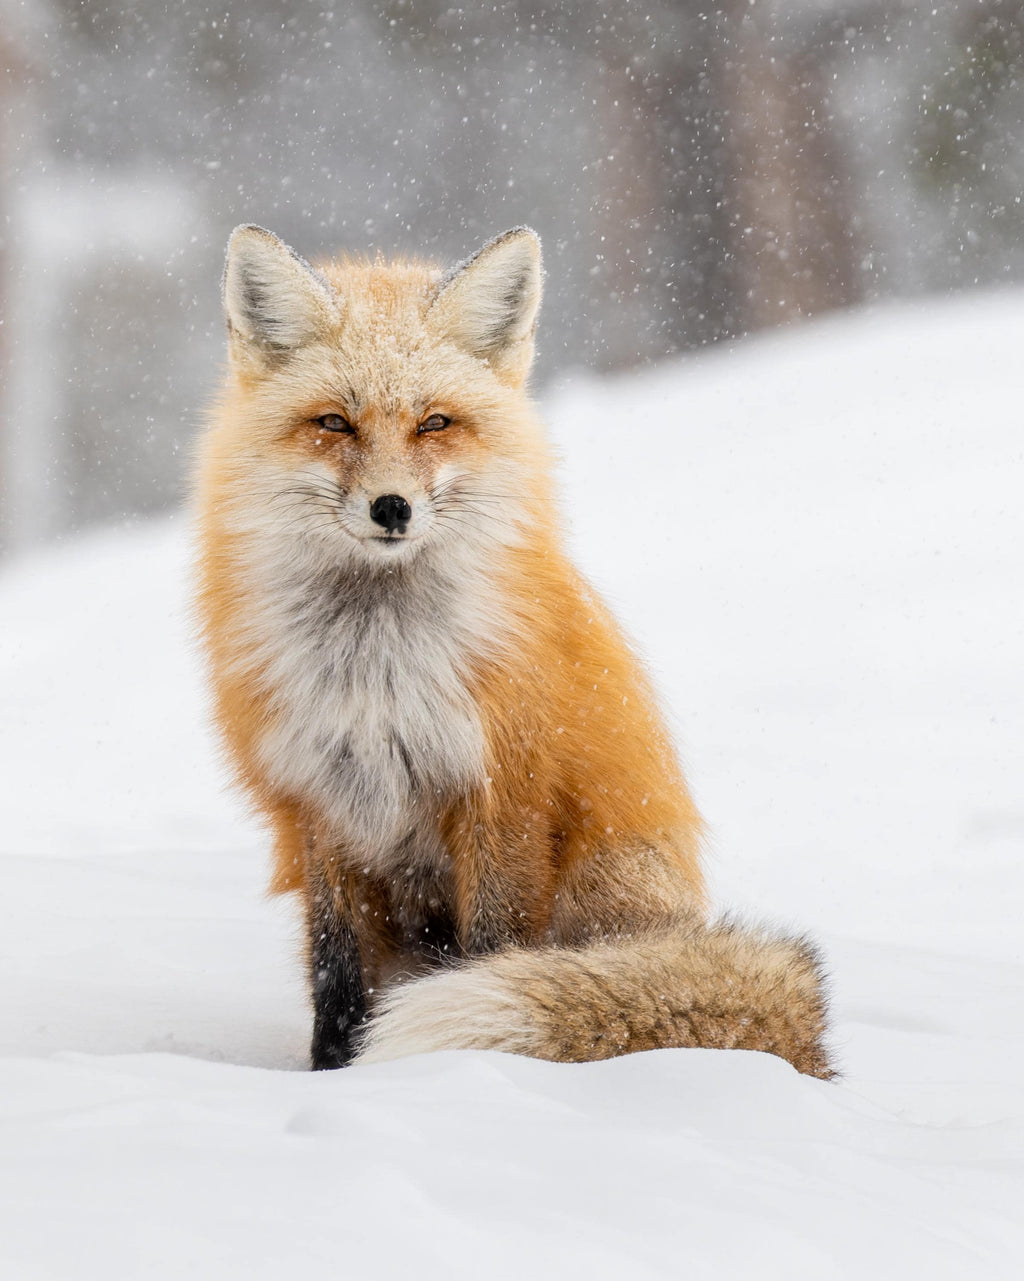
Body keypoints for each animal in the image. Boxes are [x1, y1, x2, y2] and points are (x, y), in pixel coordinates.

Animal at [193, 223, 834, 1079]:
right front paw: (334, 1072)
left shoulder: (505, 791)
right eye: (334, 423)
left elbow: (494, 944)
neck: (377, 669)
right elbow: (336, 968)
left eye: (435, 423)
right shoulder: (321, 801)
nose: (392, 507)